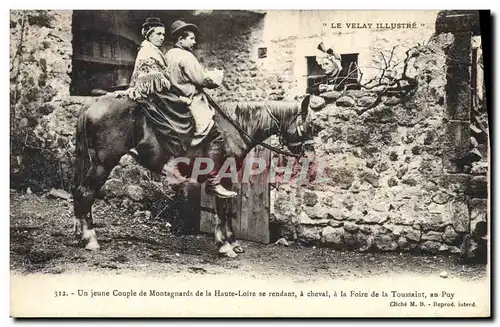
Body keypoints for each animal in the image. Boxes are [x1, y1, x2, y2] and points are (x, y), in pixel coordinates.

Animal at [72, 92, 318, 258]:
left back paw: (80, 233)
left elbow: (226, 209)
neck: (234, 127)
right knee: (86, 193)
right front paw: (225, 245)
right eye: (309, 126)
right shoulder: (222, 176)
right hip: (102, 165)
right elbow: (222, 208)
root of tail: (91, 103)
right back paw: (91, 239)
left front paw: (230, 241)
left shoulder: (229, 178)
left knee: (79, 193)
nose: (308, 154)